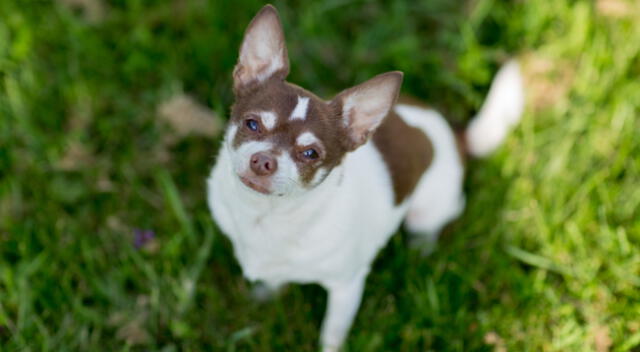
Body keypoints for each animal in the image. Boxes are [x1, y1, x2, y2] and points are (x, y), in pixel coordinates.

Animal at [208, 4, 524, 350]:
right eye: (252, 124)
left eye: (310, 154)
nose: (264, 161)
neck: (267, 215)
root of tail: (455, 136)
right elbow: (273, 280)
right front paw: (264, 297)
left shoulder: (346, 286)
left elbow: (332, 334)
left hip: (428, 210)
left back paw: (420, 250)